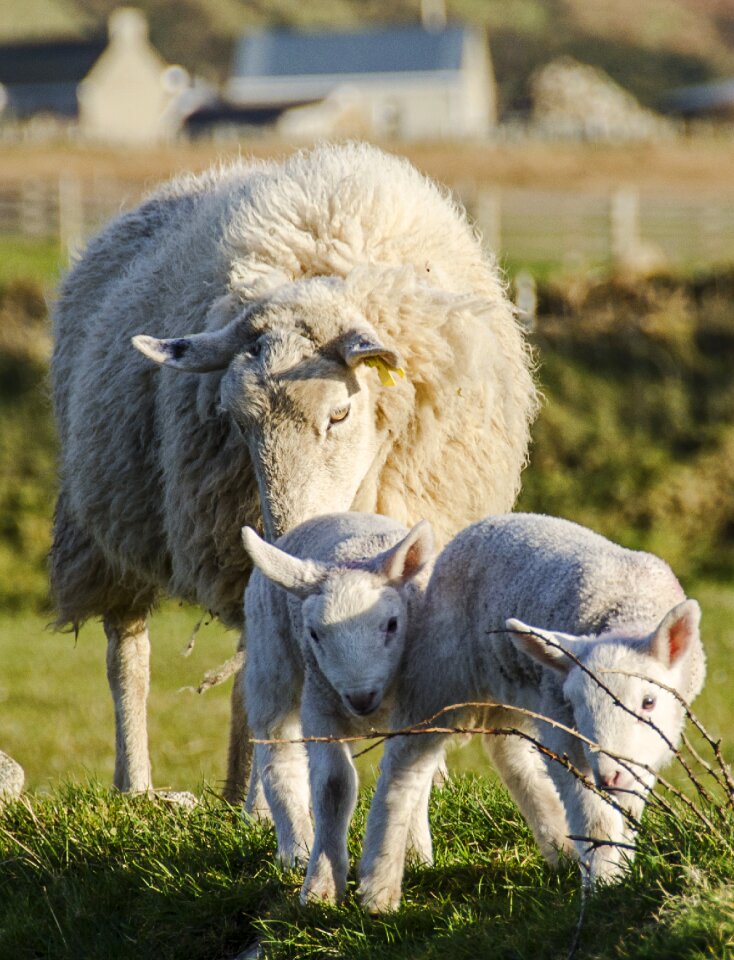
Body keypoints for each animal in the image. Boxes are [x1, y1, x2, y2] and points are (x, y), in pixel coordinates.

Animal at [49, 139, 536, 800]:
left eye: (340, 413)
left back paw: (234, 790)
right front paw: (269, 800)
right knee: (129, 655)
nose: (286, 534)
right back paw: (140, 784)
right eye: (234, 420)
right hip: (104, 528)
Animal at [242, 512, 436, 904]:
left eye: (392, 625)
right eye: (314, 634)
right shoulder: (320, 707)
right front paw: (321, 886)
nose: (360, 697)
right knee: (276, 750)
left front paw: (412, 852)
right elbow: (333, 786)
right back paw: (296, 848)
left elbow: (412, 773)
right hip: (271, 660)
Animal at [356, 512, 708, 912]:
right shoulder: (565, 732)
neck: (624, 613)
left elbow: (630, 810)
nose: (608, 776)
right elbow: (596, 820)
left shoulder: (645, 749)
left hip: (512, 685)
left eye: (649, 702)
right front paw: (604, 888)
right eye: (576, 705)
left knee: (509, 753)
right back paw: (378, 890)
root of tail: (486, 523)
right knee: (404, 769)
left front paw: (620, 870)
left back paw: (560, 848)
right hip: (437, 671)